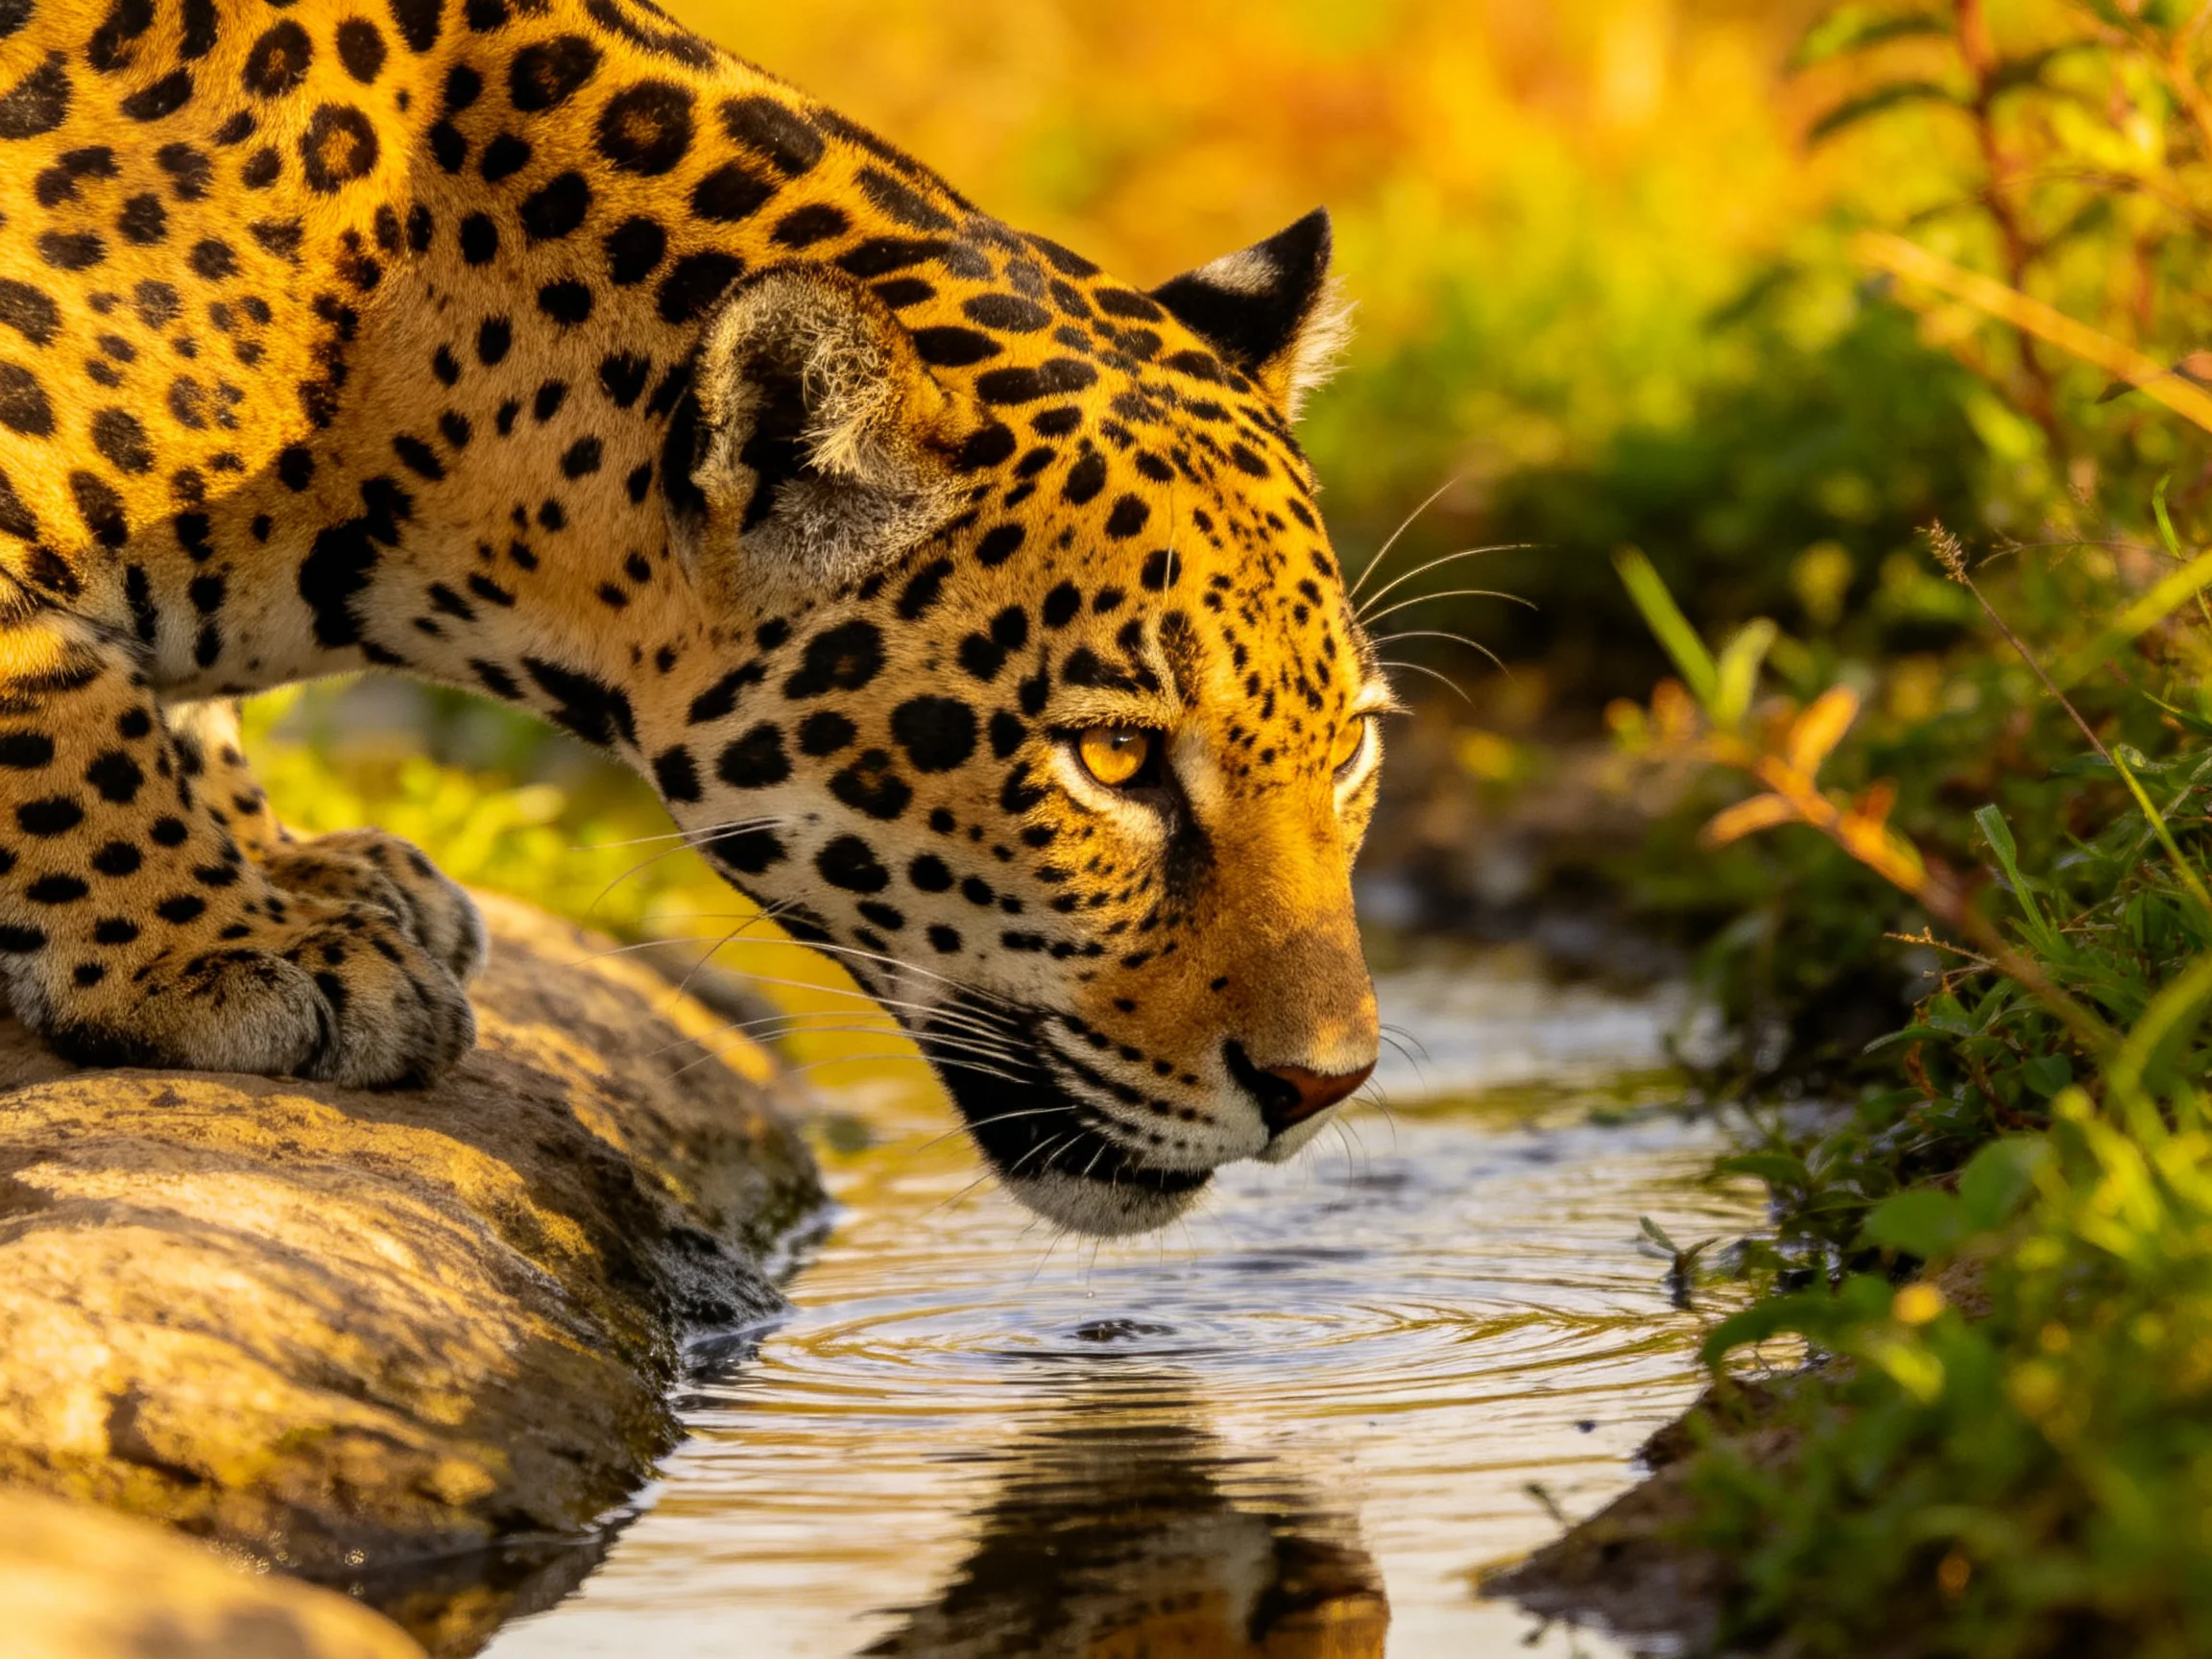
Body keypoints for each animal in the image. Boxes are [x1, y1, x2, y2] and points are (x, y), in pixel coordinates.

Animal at [0, 0, 1390, 1236]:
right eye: (1112, 756)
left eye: (1353, 747)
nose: (1324, 1085)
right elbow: (64, 719)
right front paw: (217, 945)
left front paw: (292, 868)